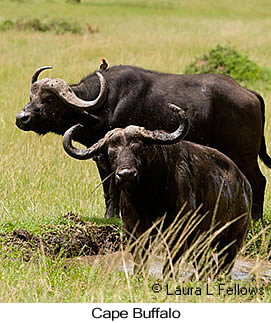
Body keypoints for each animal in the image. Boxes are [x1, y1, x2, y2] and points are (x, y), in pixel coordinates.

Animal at [15, 64, 271, 220]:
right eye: (31, 97)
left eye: (49, 99)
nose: (21, 118)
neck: (103, 106)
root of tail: (250, 94)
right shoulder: (102, 156)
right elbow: (108, 188)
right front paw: (109, 215)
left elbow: (115, 186)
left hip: (244, 154)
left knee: (259, 180)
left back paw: (255, 219)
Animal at [62, 104, 252, 278]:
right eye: (111, 153)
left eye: (139, 148)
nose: (126, 174)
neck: (147, 199)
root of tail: (245, 185)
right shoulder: (135, 231)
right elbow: (140, 259)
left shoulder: (178, 231)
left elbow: (171, 261)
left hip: (233, 240)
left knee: (224, 265)